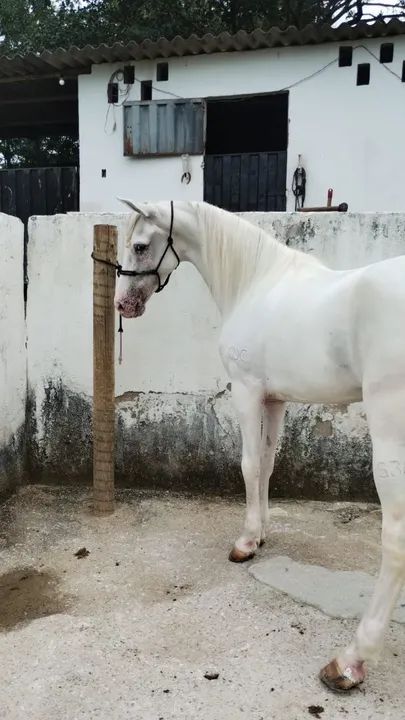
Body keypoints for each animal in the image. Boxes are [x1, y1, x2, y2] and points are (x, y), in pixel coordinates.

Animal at [114, 198, 405, 693]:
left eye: (139, 245)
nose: (122, 305)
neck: (256, 282)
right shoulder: (275, 399)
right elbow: (267, 465)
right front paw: (262, 532)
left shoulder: (247, 391)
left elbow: (249, 465)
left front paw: (246, 542)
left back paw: (350, 661)